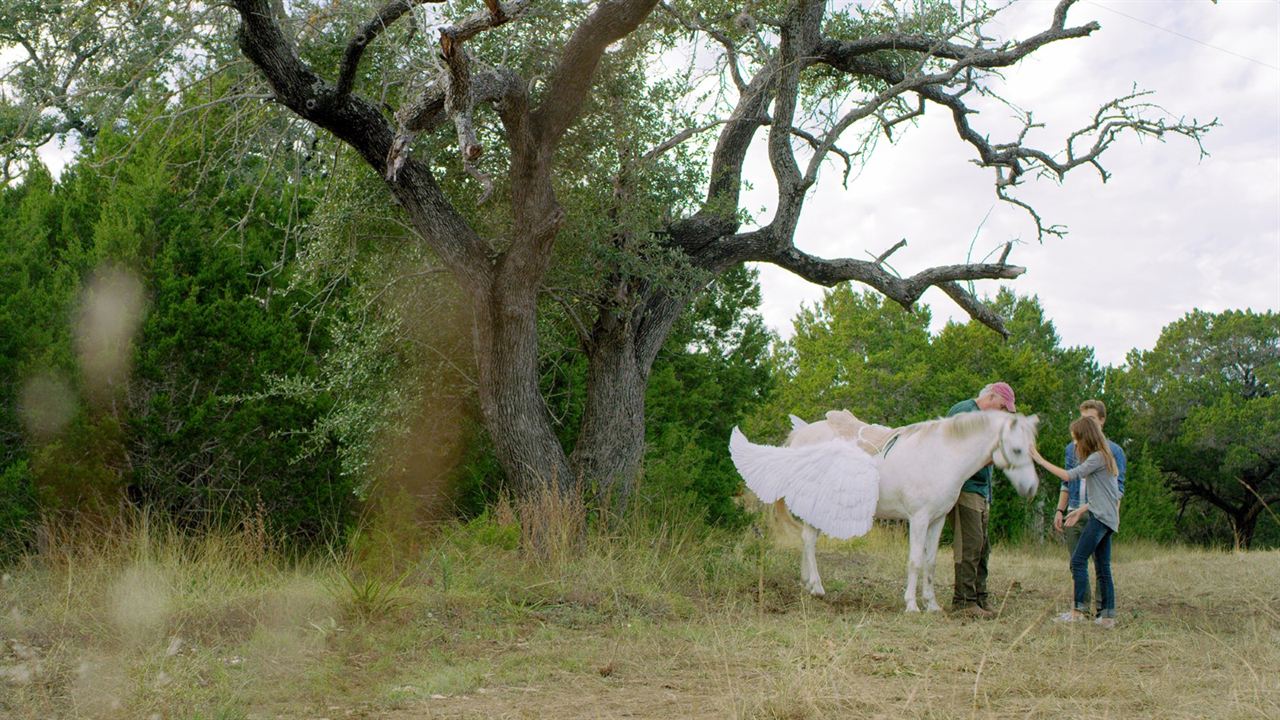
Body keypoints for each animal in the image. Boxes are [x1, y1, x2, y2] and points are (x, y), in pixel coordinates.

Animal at [732, 409, 1039, 609]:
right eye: (1018, 450)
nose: (1032, 488)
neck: (941, 456)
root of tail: (800, 436)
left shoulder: (937, 520)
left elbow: (930, 562)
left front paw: (932, 605)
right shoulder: (919, 519)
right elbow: (915, 560)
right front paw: (912, 605)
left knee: (809, 542)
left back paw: (807, 583)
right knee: (808, 540)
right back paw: (817, 587)